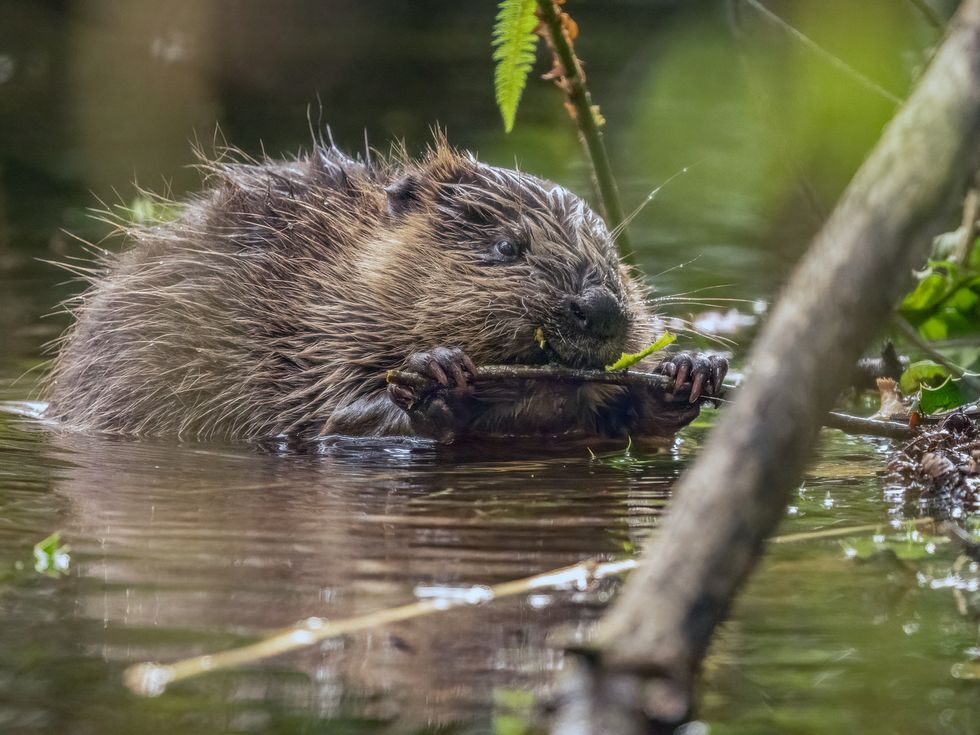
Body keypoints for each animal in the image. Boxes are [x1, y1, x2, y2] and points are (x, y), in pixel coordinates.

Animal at [46, 136, 724, 446]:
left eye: (615, 255)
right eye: (507, 246)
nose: (602, 308)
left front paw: (691, 370)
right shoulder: (295, 328)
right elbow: (325, 415)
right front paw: (439, 374)